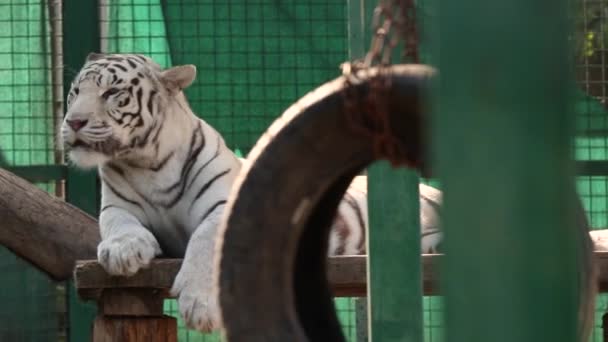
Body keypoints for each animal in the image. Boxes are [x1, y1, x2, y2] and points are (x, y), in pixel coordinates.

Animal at [59, 52, 442, 330]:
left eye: (111, 93)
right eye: (75, 92)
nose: (73, 122)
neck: (147, 163)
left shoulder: (223, 208)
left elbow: (203, 240)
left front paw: (200, 304)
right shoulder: (116, 208)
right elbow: (118, 225)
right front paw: (123, 252)